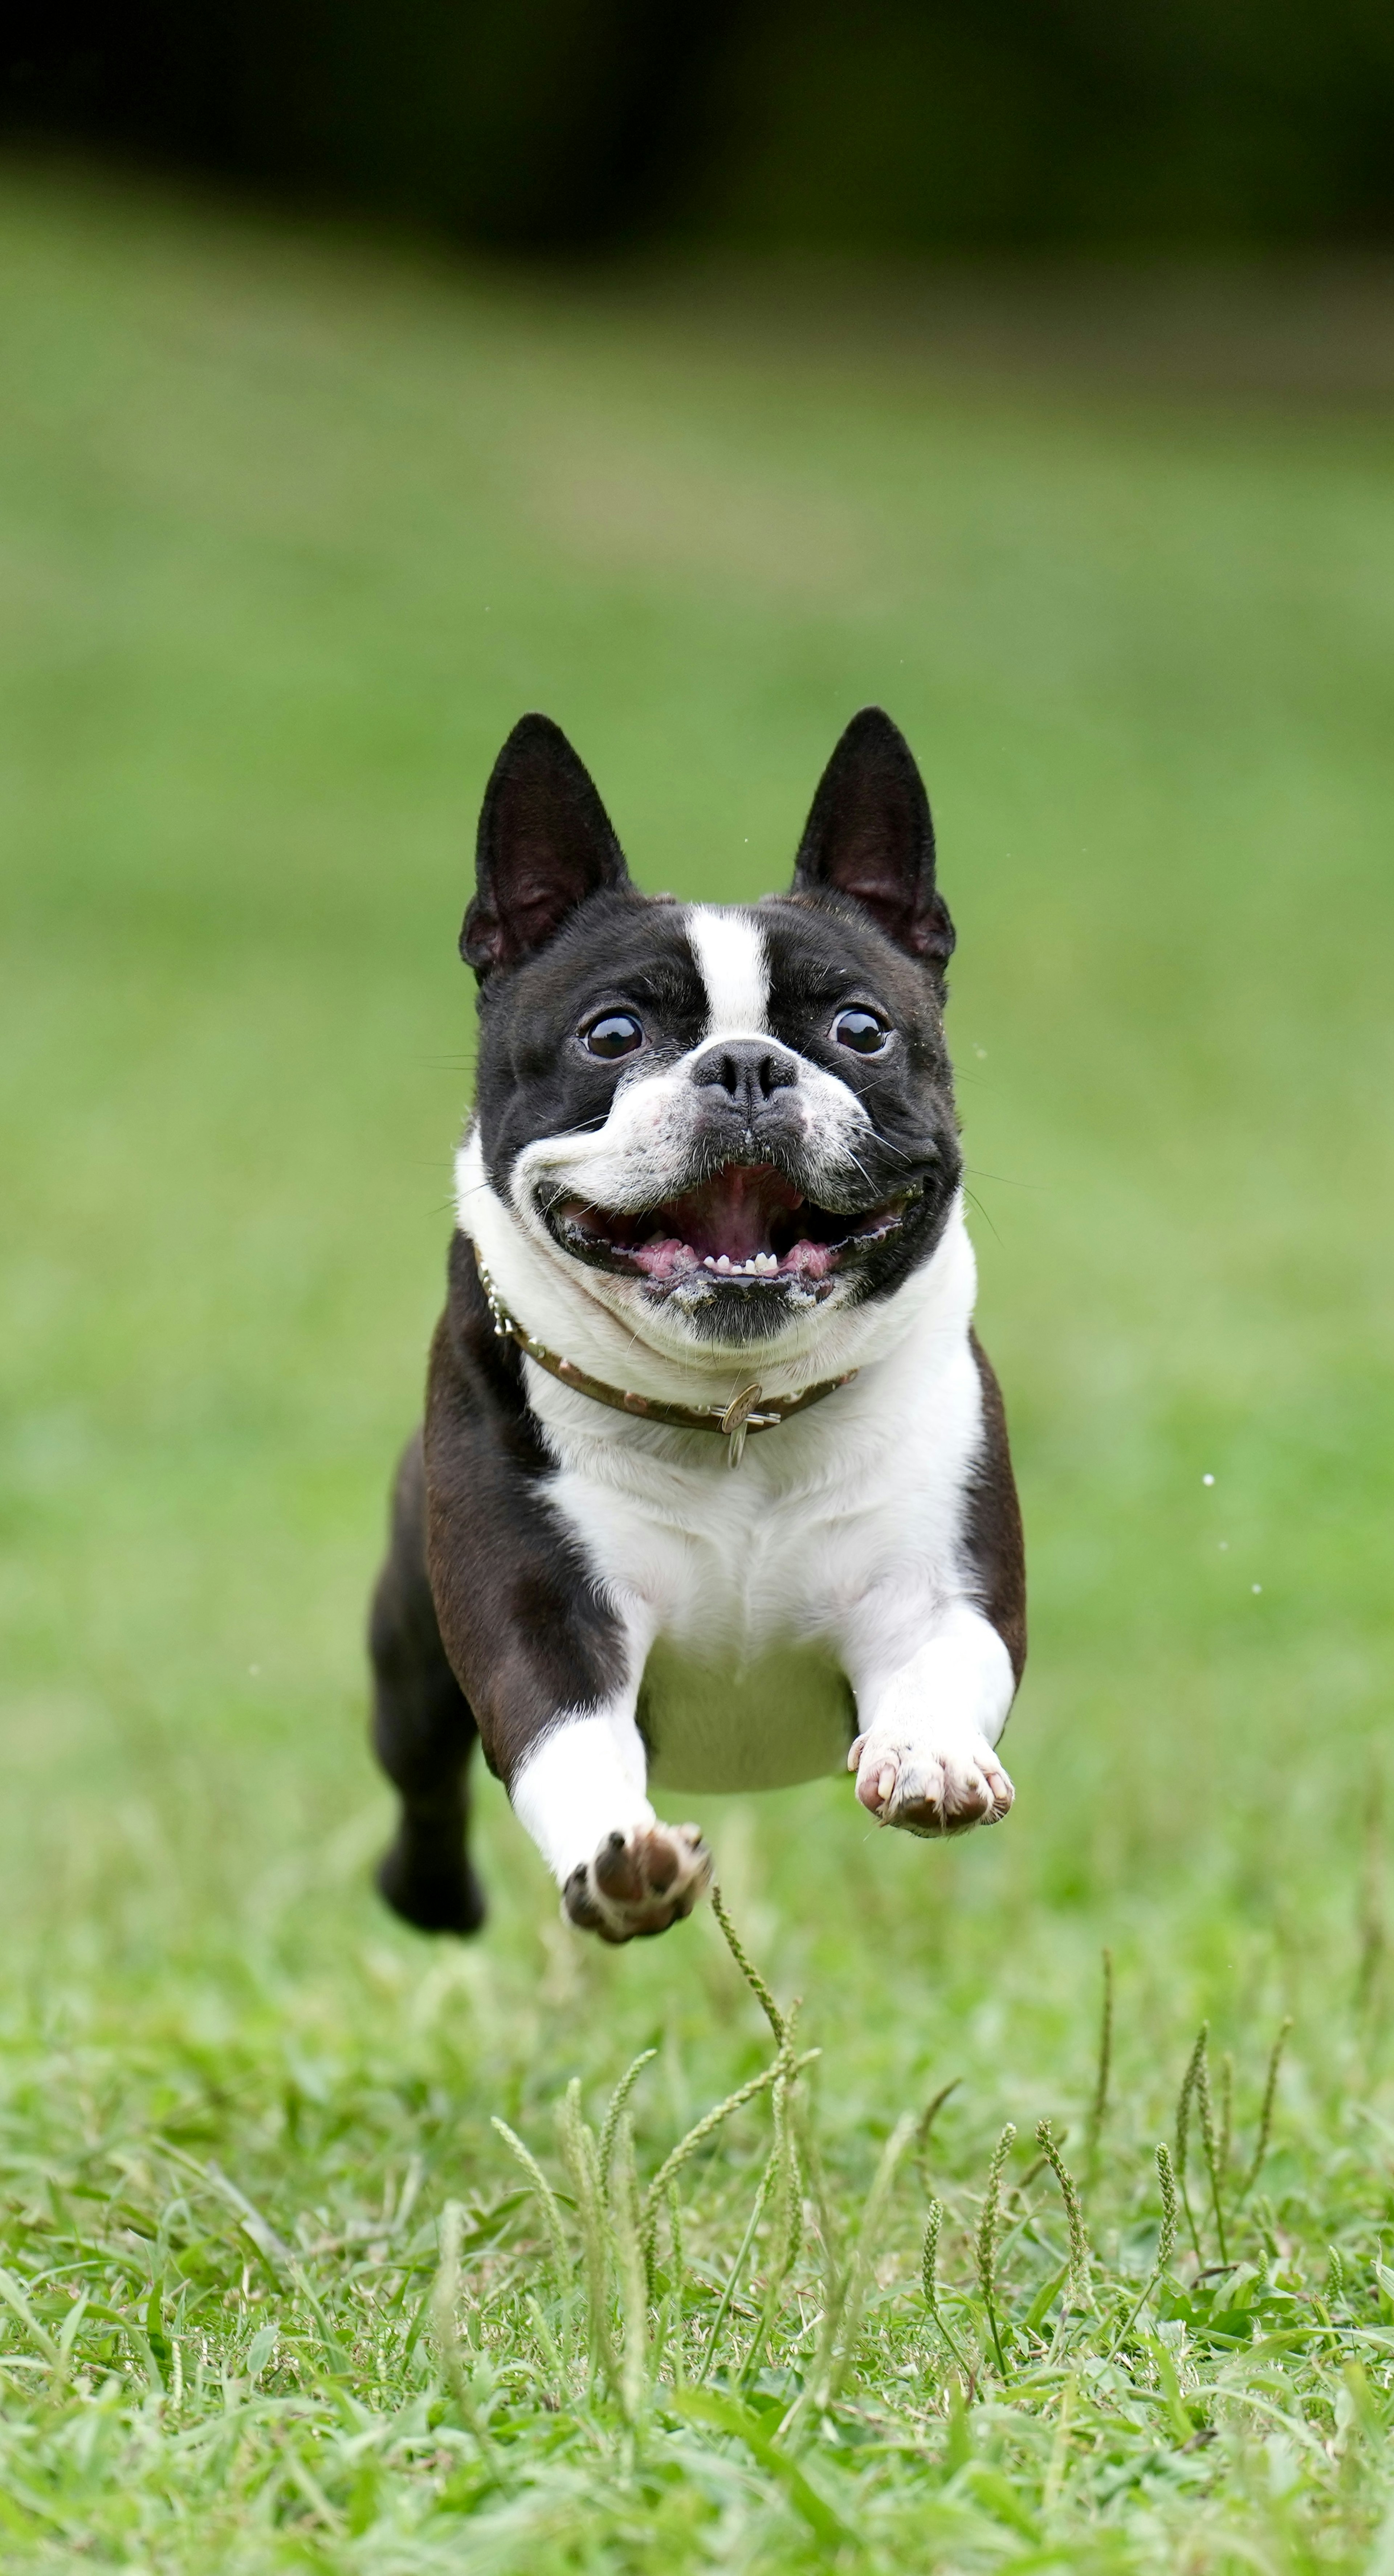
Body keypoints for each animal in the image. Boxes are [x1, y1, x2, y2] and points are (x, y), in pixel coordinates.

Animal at [368, 695, 1020, 1937]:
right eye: (614, 1035)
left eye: (861, 1029)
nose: (748, 1064)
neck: (734, 1415)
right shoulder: (539, 1620)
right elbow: (569, 1744)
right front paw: (616, 1862)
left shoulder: (939, 1589)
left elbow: (943, 1664)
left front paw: (929, 1756)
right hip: (408, 1657)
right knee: (420, 1776)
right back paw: (432, 1895)